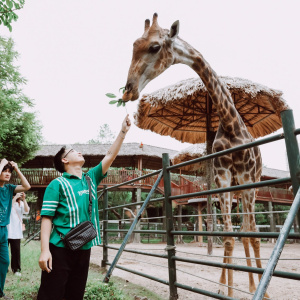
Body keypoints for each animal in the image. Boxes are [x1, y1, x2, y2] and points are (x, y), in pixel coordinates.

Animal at [123, 13, 268, 298]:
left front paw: (260, 291)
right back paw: (243, 283)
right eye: (133, 46)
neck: (231, 123)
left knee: (250, 229)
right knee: (240, 230)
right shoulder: (223, 178)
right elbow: (228, 236)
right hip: (236, 187)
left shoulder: (247, 179)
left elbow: (251, 234)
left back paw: (256, 286)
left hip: (252, 185)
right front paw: (226, 289)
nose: (128, 89)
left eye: (154, 47)